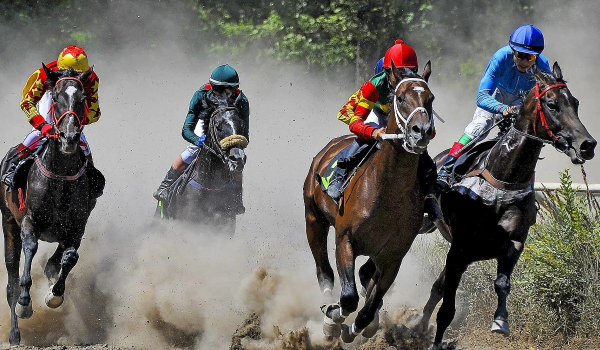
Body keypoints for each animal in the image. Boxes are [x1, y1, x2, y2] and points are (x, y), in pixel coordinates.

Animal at [0, 64, 102, 346]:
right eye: (55, 98)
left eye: (82, 99)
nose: (69, 137)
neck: (60, 177)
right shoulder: (28, 222)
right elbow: (31, 249)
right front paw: (26, 303)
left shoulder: (76, 228)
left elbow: (69, 258)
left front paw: (54, 294)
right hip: (8, 223)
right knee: (11, 281)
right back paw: (14, 333)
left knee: (53, 263)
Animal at [304, 61, 436, 344]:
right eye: (401, 98)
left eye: (430, 99)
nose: (421, 132)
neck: (388, 192)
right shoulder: (345, 240)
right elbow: (348, 298)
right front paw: (334, 319)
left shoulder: (393, 256)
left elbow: (370, 305)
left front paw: (358, 328)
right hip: (313, 219)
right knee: (324, 271)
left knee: (366, 280)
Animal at [412, 62, 596, 348]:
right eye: (552, 104)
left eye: (575, 103)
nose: (587, 145)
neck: (502, 182)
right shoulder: (460, 249)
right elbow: (447, 308)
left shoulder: (513, 243)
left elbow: (501, 283)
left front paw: (500, 321)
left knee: (436, 288)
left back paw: (420, 327)